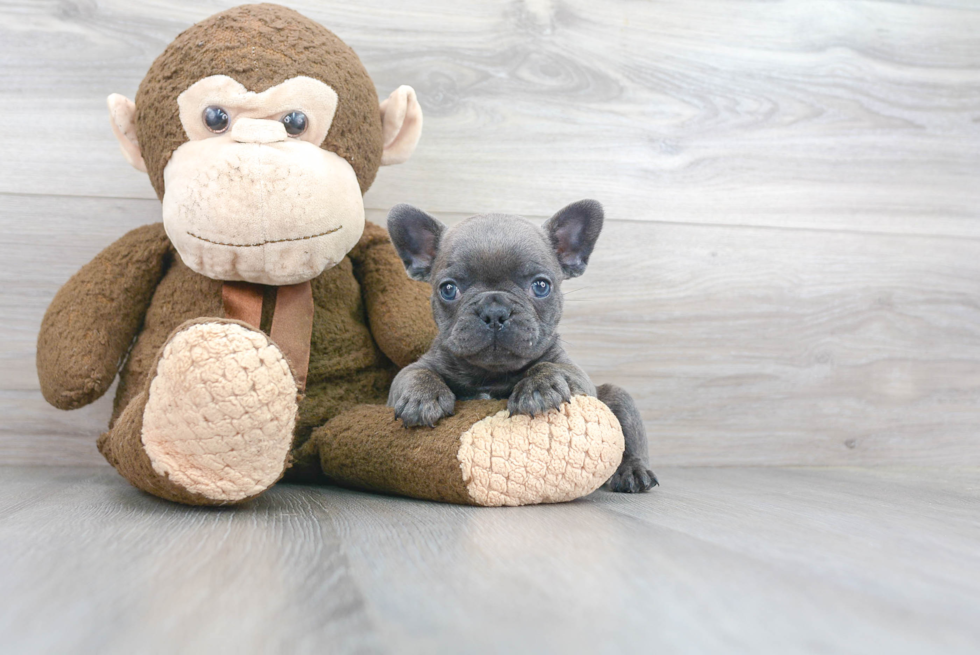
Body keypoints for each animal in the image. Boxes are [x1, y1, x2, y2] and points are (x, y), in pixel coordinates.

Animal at [386, 200, 656, 492]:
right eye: (448, 289)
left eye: (541, 286)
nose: (494, 311)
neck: (491, 374)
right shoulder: (418, 367)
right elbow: (415, 373)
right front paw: (422, 397)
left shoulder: (575, 374)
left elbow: (551, 367)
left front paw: (538, 386)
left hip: (618, 398)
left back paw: (633, 472)